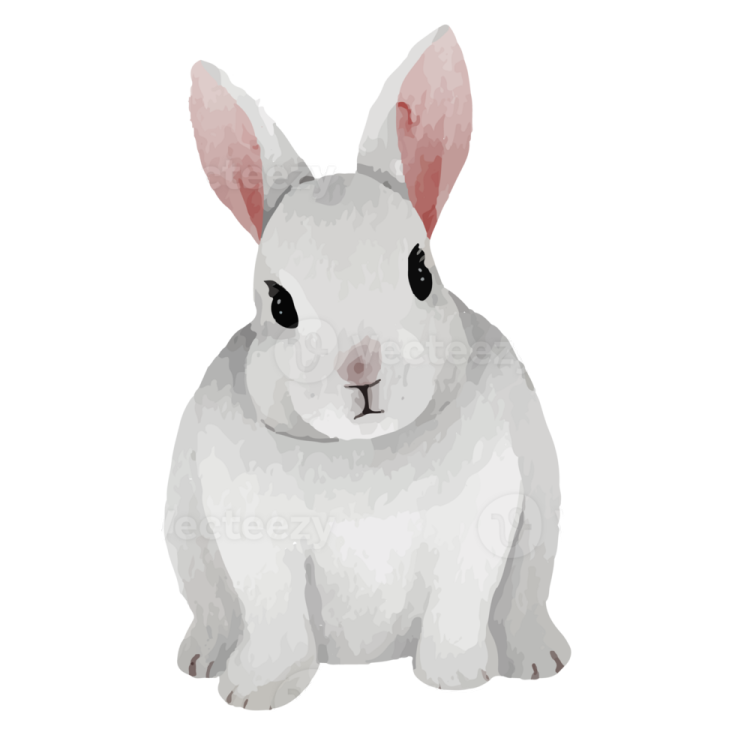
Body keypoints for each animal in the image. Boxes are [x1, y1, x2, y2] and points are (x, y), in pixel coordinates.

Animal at [164, 23, 570, 712]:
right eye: (280, 305)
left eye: (420, 274)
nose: (362, 375)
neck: (363, 454)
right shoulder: (259, 549)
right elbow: (274, 617)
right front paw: (257, 690)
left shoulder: (475, 531)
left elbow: (458, 606)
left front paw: (456, 679)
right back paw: (204, 658)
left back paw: (537, 659)